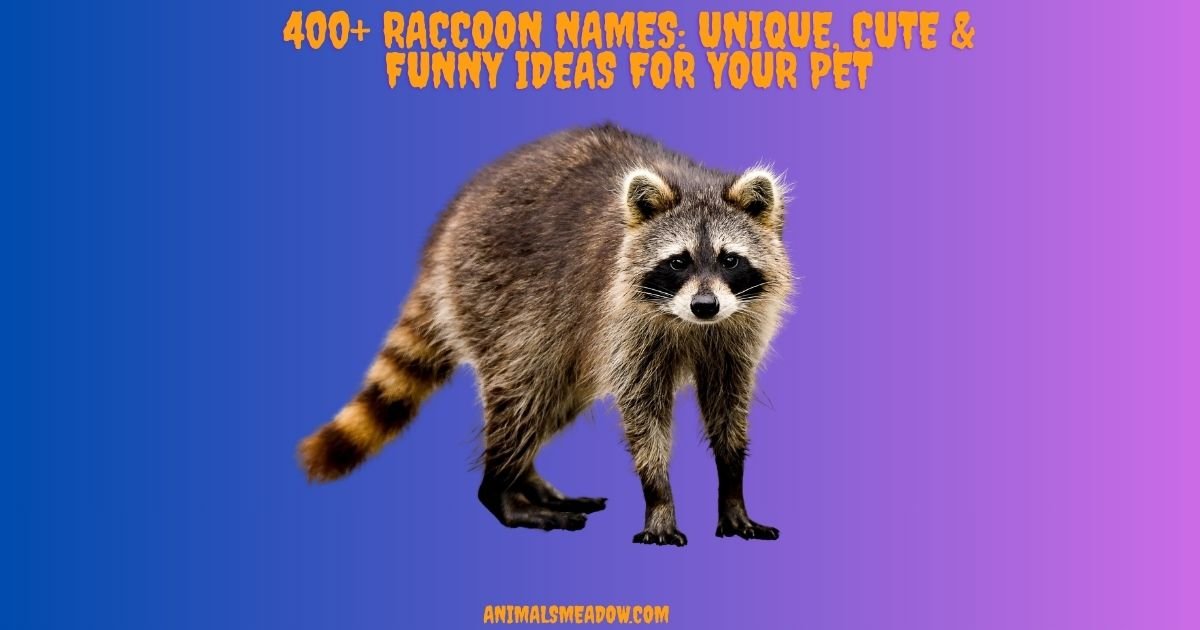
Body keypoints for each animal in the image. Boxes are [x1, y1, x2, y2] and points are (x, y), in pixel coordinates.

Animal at [298, 124, 793, 546]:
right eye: (678, 261)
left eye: (729, 259)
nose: (704, 306)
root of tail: (445, 236)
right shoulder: (624, 323)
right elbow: (643, 413)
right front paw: (658, 497)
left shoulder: (736, 331)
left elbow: (728, 404)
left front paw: (732, 488)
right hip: (499, 300)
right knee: (523, 391)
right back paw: (501, 490)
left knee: (554, 397)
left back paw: (524, 478)